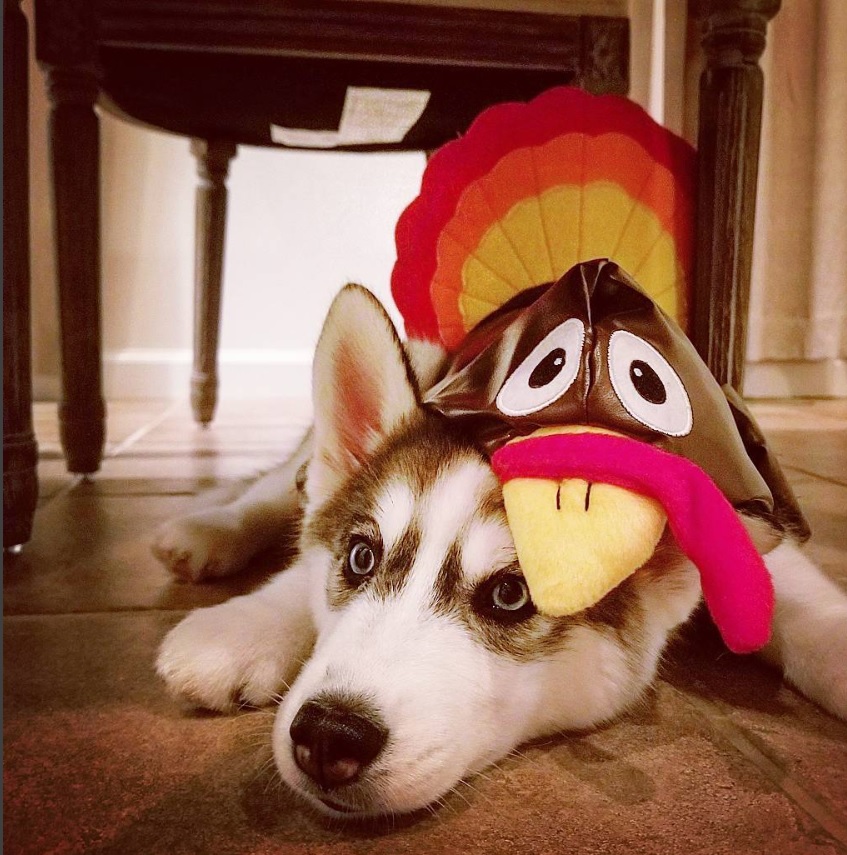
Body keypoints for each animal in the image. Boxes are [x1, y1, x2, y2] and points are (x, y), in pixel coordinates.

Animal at [156, 284, 847, 820]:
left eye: (511, 595)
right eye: (359, 558)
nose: (328, 736)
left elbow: (798, 603)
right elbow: (301, 565)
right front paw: (242, 628)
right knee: (282, 485)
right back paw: (204, 531)